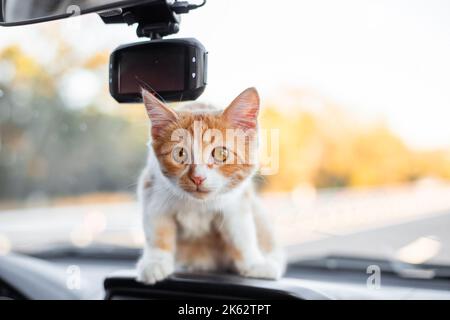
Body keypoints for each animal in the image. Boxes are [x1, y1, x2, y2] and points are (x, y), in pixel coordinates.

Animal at [136, 87, 284, 282]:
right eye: (180, 154)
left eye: (221, 153)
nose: (198, 178)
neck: (197, 204)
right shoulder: (153, 188)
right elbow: (157, 230)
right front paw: (155, 262)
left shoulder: (236, 200)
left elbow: (242, 234)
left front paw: (254, 263)